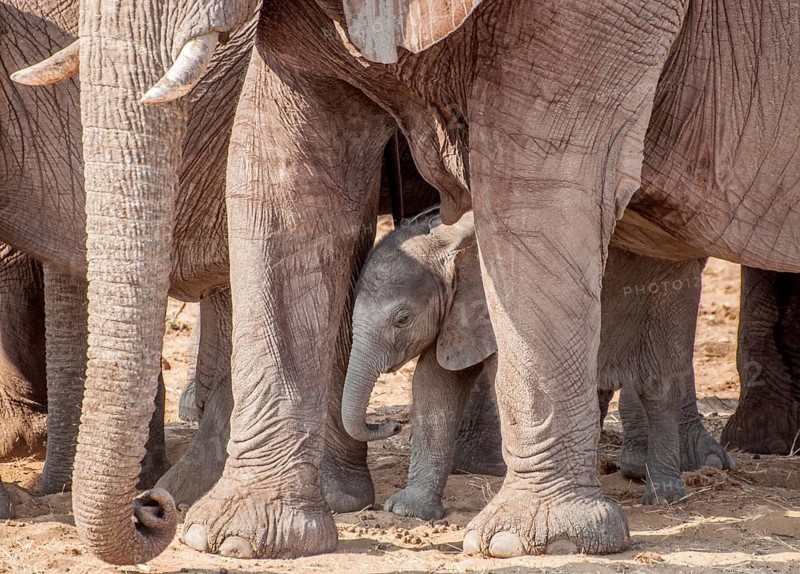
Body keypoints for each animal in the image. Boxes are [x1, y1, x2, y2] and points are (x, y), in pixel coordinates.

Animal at [14, 0, 799, 564]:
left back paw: (670, 491)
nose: (152, 511)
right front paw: (240, 537)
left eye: (398, 321)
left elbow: (536, 184)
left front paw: (529, 542)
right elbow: (281, 179)